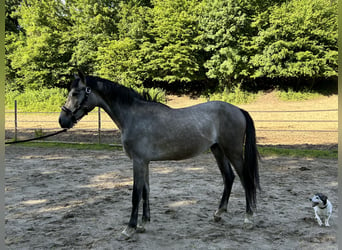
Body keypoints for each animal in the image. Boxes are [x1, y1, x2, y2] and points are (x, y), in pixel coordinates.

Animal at [58, 71, 260, 239]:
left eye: (75, 93)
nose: (62, 121)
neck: (133, 116)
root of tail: (238, 110)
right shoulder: (145, 162)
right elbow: (146, 191)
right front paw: (143, 224)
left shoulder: (138, 162)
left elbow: (136, 194)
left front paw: (129, 228)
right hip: (218, 150)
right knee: (229, 177)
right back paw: (218, 214)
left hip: (233, 151)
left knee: (245, 179)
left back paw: (249, 219)